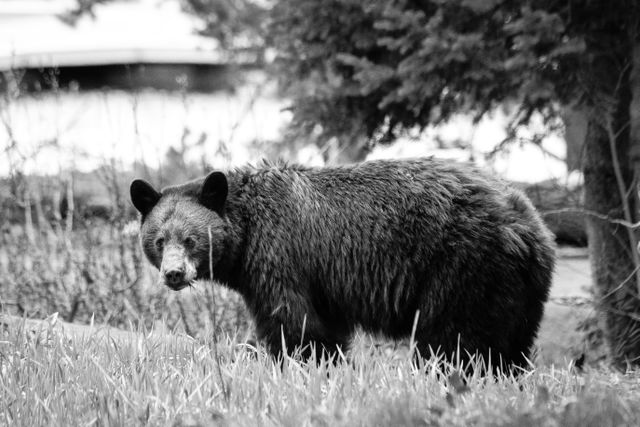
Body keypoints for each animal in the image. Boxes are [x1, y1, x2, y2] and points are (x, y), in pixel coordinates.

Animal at [130, 158, 556, 372]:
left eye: (191, 238)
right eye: (159, 239)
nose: (174, 273)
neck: (247, 232)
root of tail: (529, 225)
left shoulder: (281, 255)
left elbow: (293, 322)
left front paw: (300, 366)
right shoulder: (323, 281)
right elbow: (326, 325)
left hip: (462, 266)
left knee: (454, 340)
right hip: (516, 289)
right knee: (511, 344)